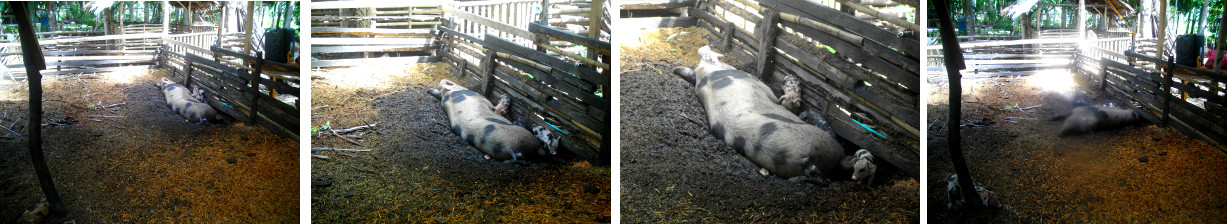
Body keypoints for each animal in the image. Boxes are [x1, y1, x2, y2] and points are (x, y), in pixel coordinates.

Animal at [431, 79, 561, 161]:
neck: (447, 95)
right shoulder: (484, 100)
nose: (443, 80)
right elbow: (495, 108)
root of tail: (511, 149)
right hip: (525, 136)